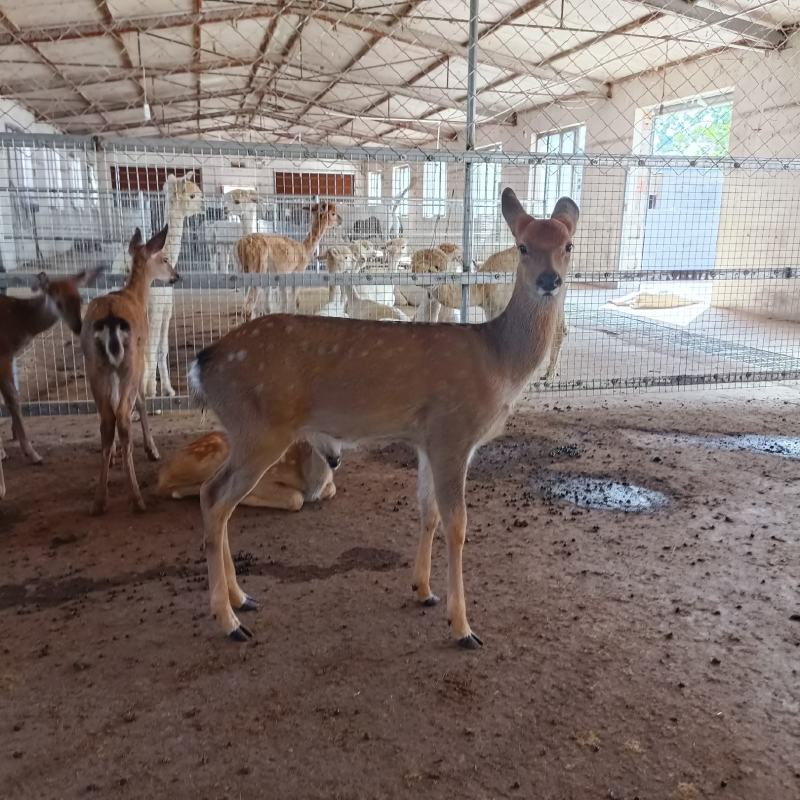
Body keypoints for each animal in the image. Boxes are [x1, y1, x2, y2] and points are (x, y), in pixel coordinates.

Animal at [0, 268, 102, 499]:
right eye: (58, 302)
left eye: (79, 298)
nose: (78, 327)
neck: (18, 323)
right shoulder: (3, 356)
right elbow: (12, 398)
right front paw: (33, 454)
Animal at [80, 226, 178, 515]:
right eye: (164, 259)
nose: (176, 277)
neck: (135, 295)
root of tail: (110, 322)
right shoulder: (141, 359)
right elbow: (143, 400)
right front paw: (152, 449)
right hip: (128, 364)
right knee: (122, 417)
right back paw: (136, 498)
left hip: (95, 366)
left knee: (106, 420)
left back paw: (99, 500)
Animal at [190, 188, 578, 647]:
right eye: (522, 247)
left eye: (568, 245)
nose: (549, 281)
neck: (499, 363)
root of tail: (202, 364)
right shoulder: (453, 433)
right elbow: (458, 524)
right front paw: (462, 626)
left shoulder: (427, 440)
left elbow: (428, 511)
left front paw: (423, 590)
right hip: (260, 430)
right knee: (216, 499)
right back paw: (229, 620)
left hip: (244, 432)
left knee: (215, 498)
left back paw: (243, 598)